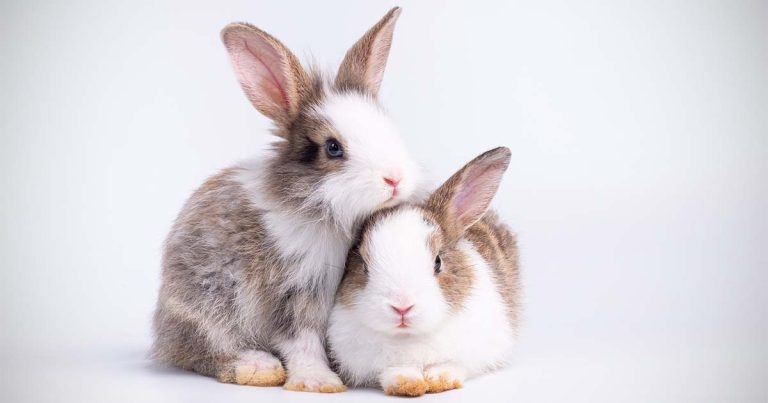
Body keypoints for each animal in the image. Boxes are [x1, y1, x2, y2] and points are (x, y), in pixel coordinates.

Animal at [151, 7, 424, 393]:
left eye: (389, 129)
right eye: (333, 148)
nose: (395, 179)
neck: (324, 215)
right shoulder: (291, 291)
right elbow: (301, 340)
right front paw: (319, 381)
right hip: (207, 306)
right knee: (202, 351)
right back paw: (256, 367)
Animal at [327, 147, 520, 396]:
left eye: (438, 262)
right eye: (363, 265)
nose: (402, 307)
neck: (410, 336)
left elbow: (453, 365)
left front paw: (441, 381)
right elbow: (394, 371)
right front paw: (408, 384)